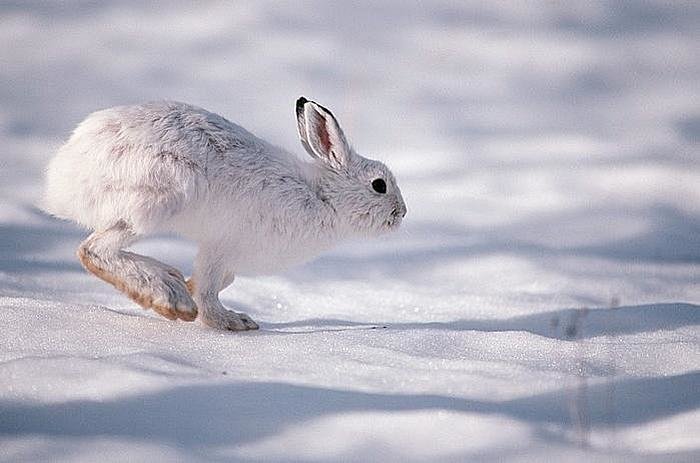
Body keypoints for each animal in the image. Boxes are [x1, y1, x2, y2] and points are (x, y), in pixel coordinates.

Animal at [43, 97, 407, 330]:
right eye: (379, 185)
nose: (402, 213)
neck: (322, 197)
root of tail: (65, 174)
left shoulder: (221, 254)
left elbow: (219, 282)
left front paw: (198, 292)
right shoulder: (222, 246)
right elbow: (208, 290)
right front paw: (232, 322)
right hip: (158, 200)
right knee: (93, 250)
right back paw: (168, 296)